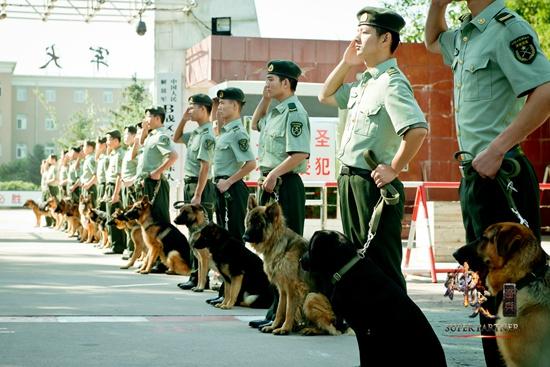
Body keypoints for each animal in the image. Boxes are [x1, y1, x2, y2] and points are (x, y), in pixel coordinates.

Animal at [245, 198, 340, 336]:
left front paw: (284, 328)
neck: (279, 244)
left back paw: (311, 330)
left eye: (258, 224)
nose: (244, 237)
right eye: (249, 222)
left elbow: (289, 310)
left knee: (328, 328)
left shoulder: (292, 289)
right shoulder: (283, 290)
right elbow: (280, 310)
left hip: (311, 297)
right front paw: (274, 326)